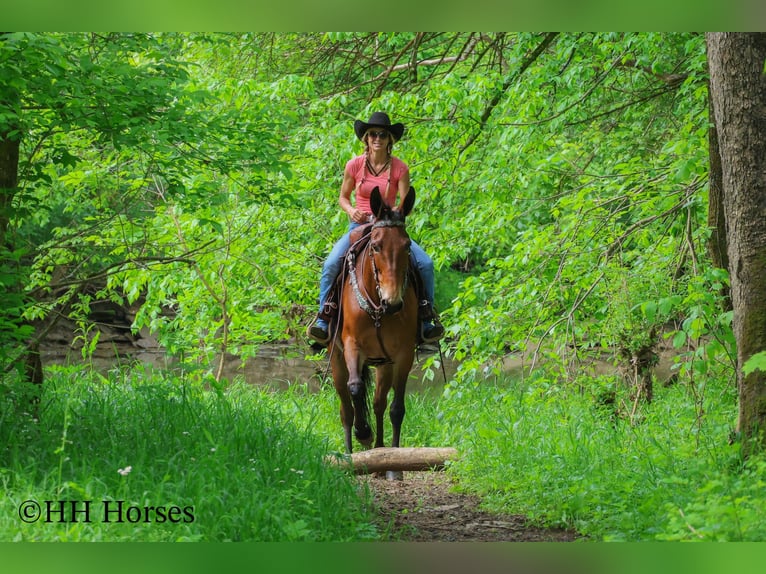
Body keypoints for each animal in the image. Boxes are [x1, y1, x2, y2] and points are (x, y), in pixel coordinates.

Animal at [328, 185, 419, 474]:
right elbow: (356, 388)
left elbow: (396, 409)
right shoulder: (352, 345)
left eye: (407, 245)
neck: (379, 310)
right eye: (376, 245)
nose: (394, 302)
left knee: (379, 404)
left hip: (384, 364)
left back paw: (380, 451)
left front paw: (394, 463)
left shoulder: (403, 354)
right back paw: (351, 454)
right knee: (345, 408)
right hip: (337, 361)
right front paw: (363, 433)